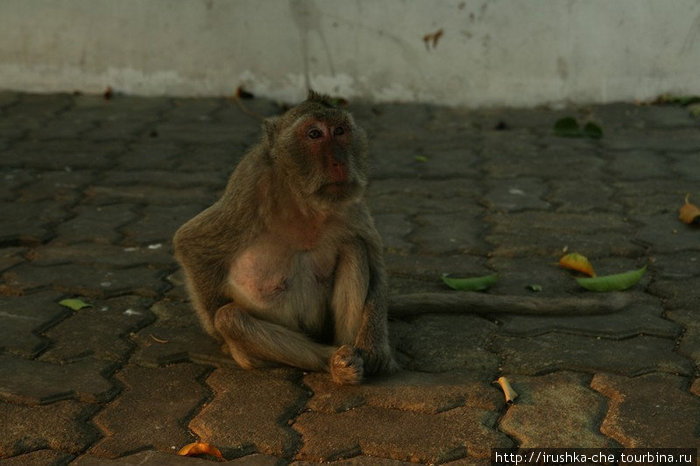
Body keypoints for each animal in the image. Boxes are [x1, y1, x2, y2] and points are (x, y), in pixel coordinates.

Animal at [174, 91, 628, 386]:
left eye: (340, 131)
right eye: (314, 135)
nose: (338, 162)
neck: (303, 200)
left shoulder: (350, 201)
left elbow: (373, 258)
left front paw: (376, 349)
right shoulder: (249, 189)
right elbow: (192, 244)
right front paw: (225, 346)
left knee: (353, 250)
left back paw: (354, 354)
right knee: (231, 317)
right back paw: (332, 364)